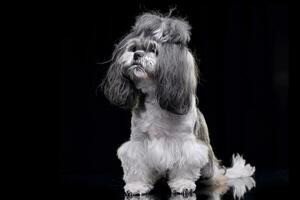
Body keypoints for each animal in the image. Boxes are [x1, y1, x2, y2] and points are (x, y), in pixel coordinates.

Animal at [101, 12, 255, 195]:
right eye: (132, 48)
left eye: (154, 50)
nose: (137, 54)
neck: (155, 100)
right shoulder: (139, 142)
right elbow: (137, 165)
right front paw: (137, 185)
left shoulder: (186, 144)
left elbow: (185, 165)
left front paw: (183, 184)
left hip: (210, 169)